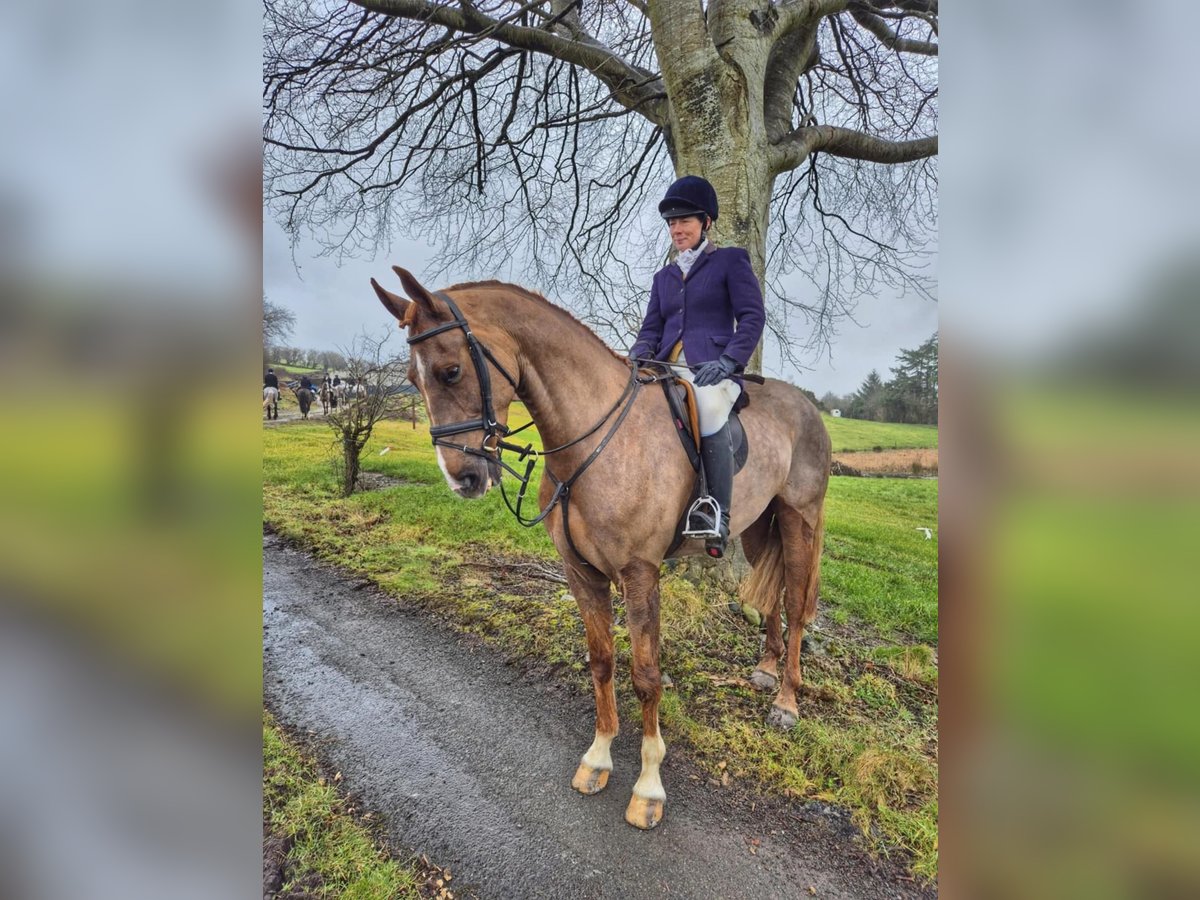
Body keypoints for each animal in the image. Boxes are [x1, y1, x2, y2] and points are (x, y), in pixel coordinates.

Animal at [369, 267, 830, 830]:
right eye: (413, 380)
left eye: (451, 371)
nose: (464, 479)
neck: (591, 442)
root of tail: (806, 405)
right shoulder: (580, 571)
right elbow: (602, 660)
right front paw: (598, 757)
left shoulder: (640, 573)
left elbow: (646, 676)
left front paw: (649, 788)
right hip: (760, 525)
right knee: (771, 595)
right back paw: (765, 669)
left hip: (799, 520)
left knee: (795, 603)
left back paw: (786, 700)